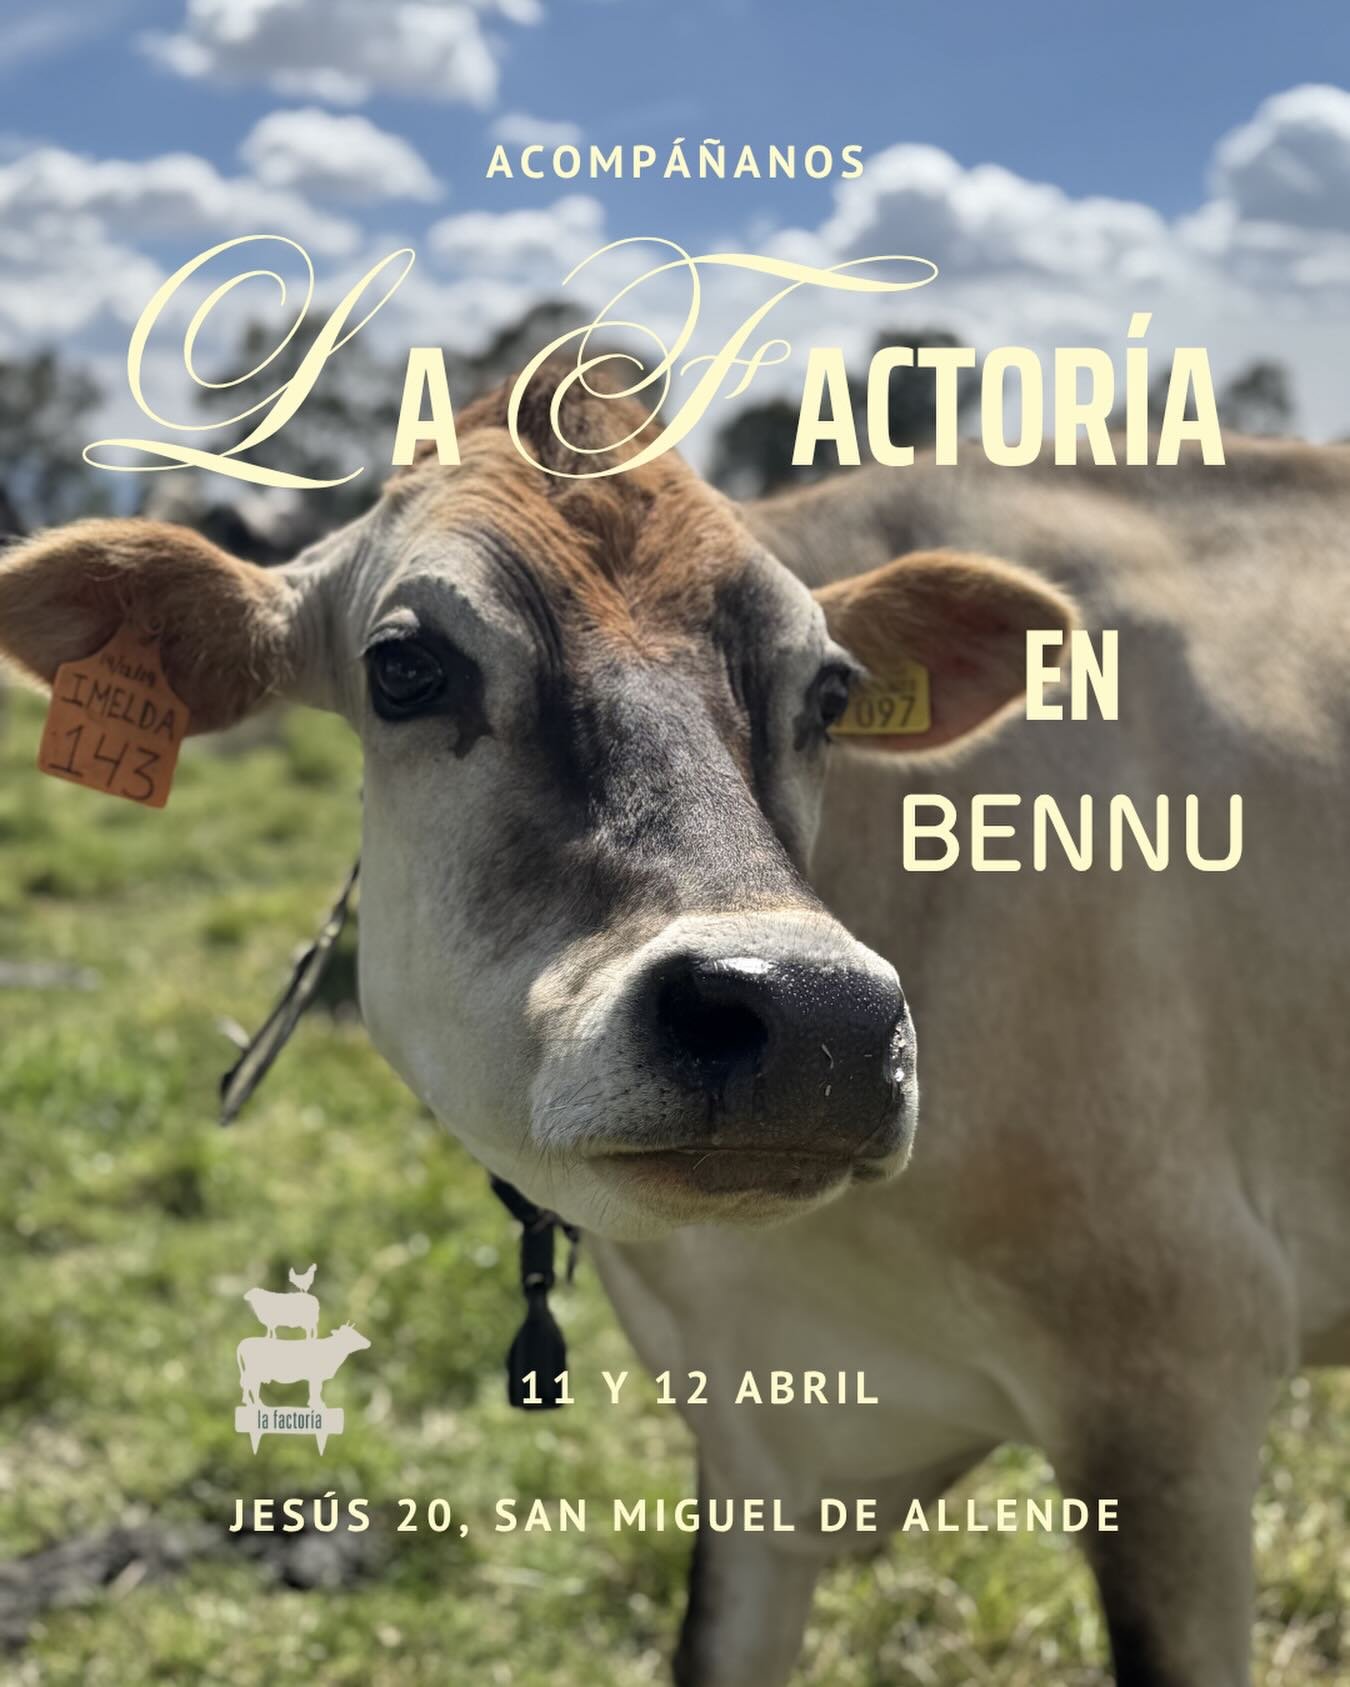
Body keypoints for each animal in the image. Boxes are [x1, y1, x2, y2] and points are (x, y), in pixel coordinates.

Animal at [237, 1322, 370, 1409]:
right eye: (350, 1335)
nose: (369, 1342)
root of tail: (243, 1343)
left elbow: (315, 1390)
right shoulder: (315, 1377)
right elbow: (316, 1390)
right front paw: (317, 1404)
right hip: (254, 1373)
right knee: (251, 1385)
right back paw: (254, 1404)